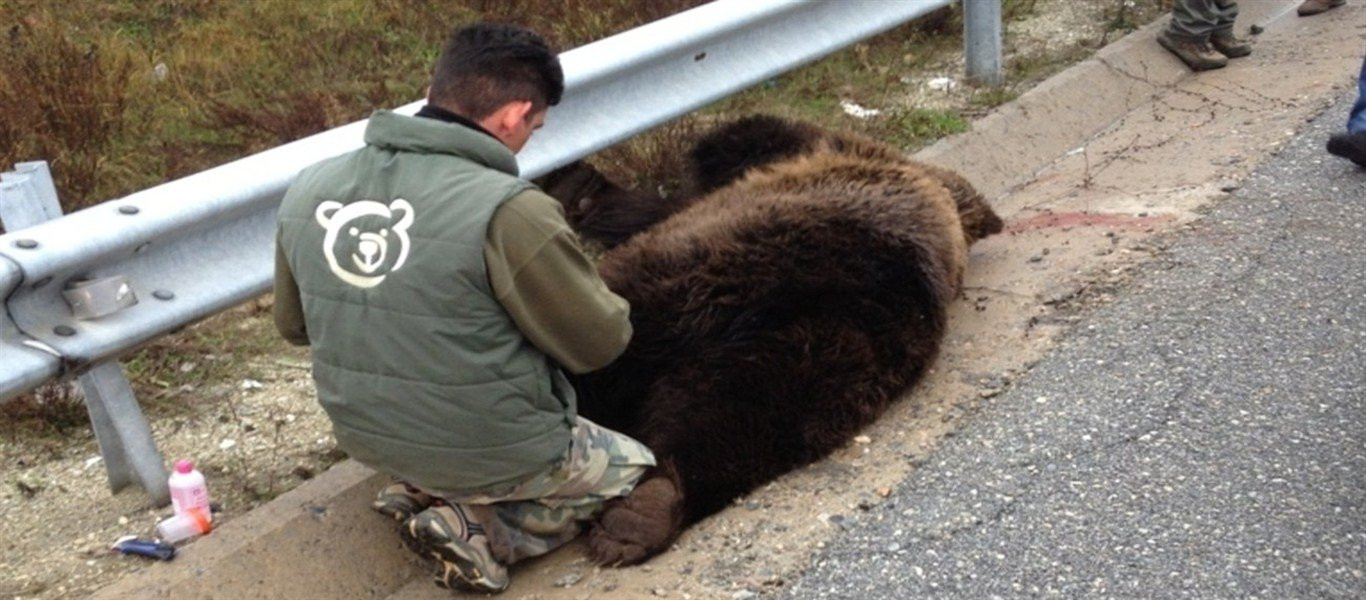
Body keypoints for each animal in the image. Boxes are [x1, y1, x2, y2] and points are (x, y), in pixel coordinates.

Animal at [540, 114, 1005, 565]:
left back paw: (639, 512)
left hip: (674, 282)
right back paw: (649, 510)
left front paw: (579, 187)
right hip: (840, 338)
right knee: (753, 411)